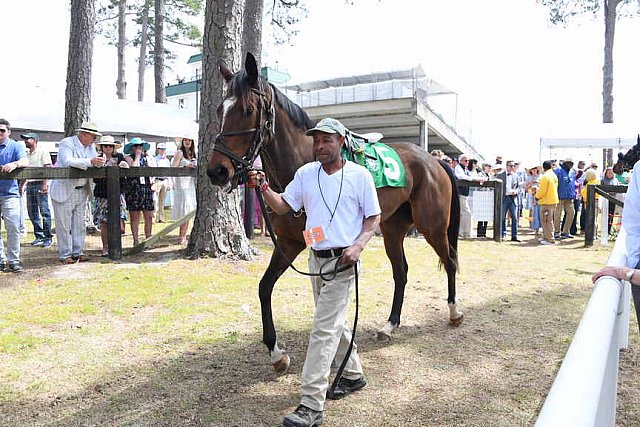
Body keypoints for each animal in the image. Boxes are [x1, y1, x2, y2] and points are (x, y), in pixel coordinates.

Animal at [208, 52, 462, 374]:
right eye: (220, 109)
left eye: (247, 109)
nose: (216, 171)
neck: (303, 165)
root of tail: (434, 160)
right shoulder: (289, 242)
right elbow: (265, 287)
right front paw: (277, 353)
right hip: (392, 229)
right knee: (401, 272)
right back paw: (390, 325)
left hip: (433, 226)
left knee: (450, 261)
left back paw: (454, 312)